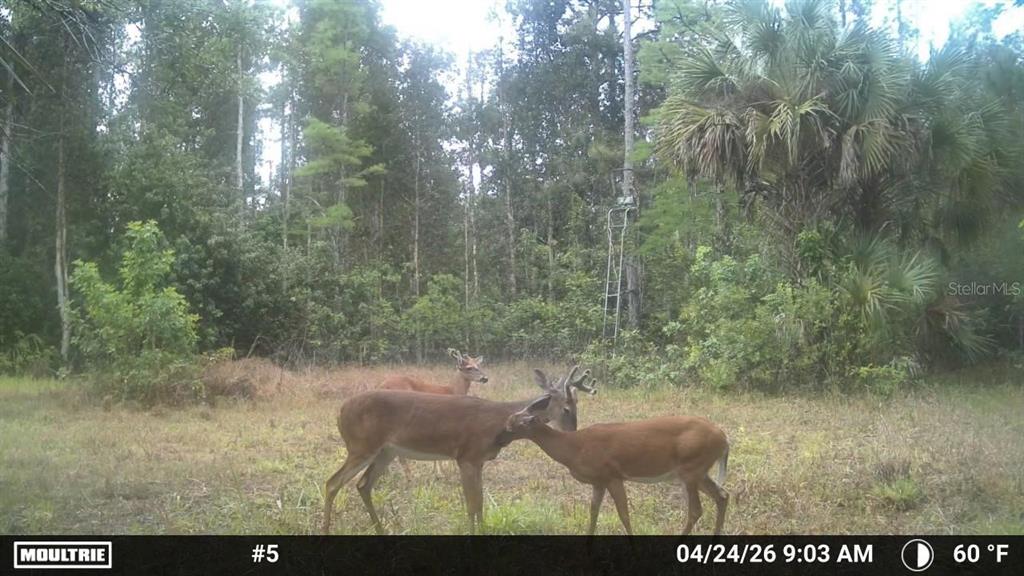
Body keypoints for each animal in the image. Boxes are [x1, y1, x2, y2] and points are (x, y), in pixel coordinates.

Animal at [323, 365, 597, 535]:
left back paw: (381, 529)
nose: (573, 433)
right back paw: (326, 530)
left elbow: (481, 502)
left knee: (362, 485)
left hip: (385, 452)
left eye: (578, 405)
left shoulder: (479, 460)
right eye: (566, 409)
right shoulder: (466, 456)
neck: (498, 421)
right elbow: (472, 504)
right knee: (333, 482)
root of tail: (339, 411)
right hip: (361, 445)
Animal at [502, 384, 730, 535]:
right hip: (697, 471)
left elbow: (624, 515)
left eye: (516, 424)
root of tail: (724, 438)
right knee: (722, 496)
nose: (502, 432)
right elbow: (593, 513)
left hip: (691, 468)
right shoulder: (599, 481)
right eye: (511, 420)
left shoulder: (612, 475)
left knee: (696, 510)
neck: (574, 447)